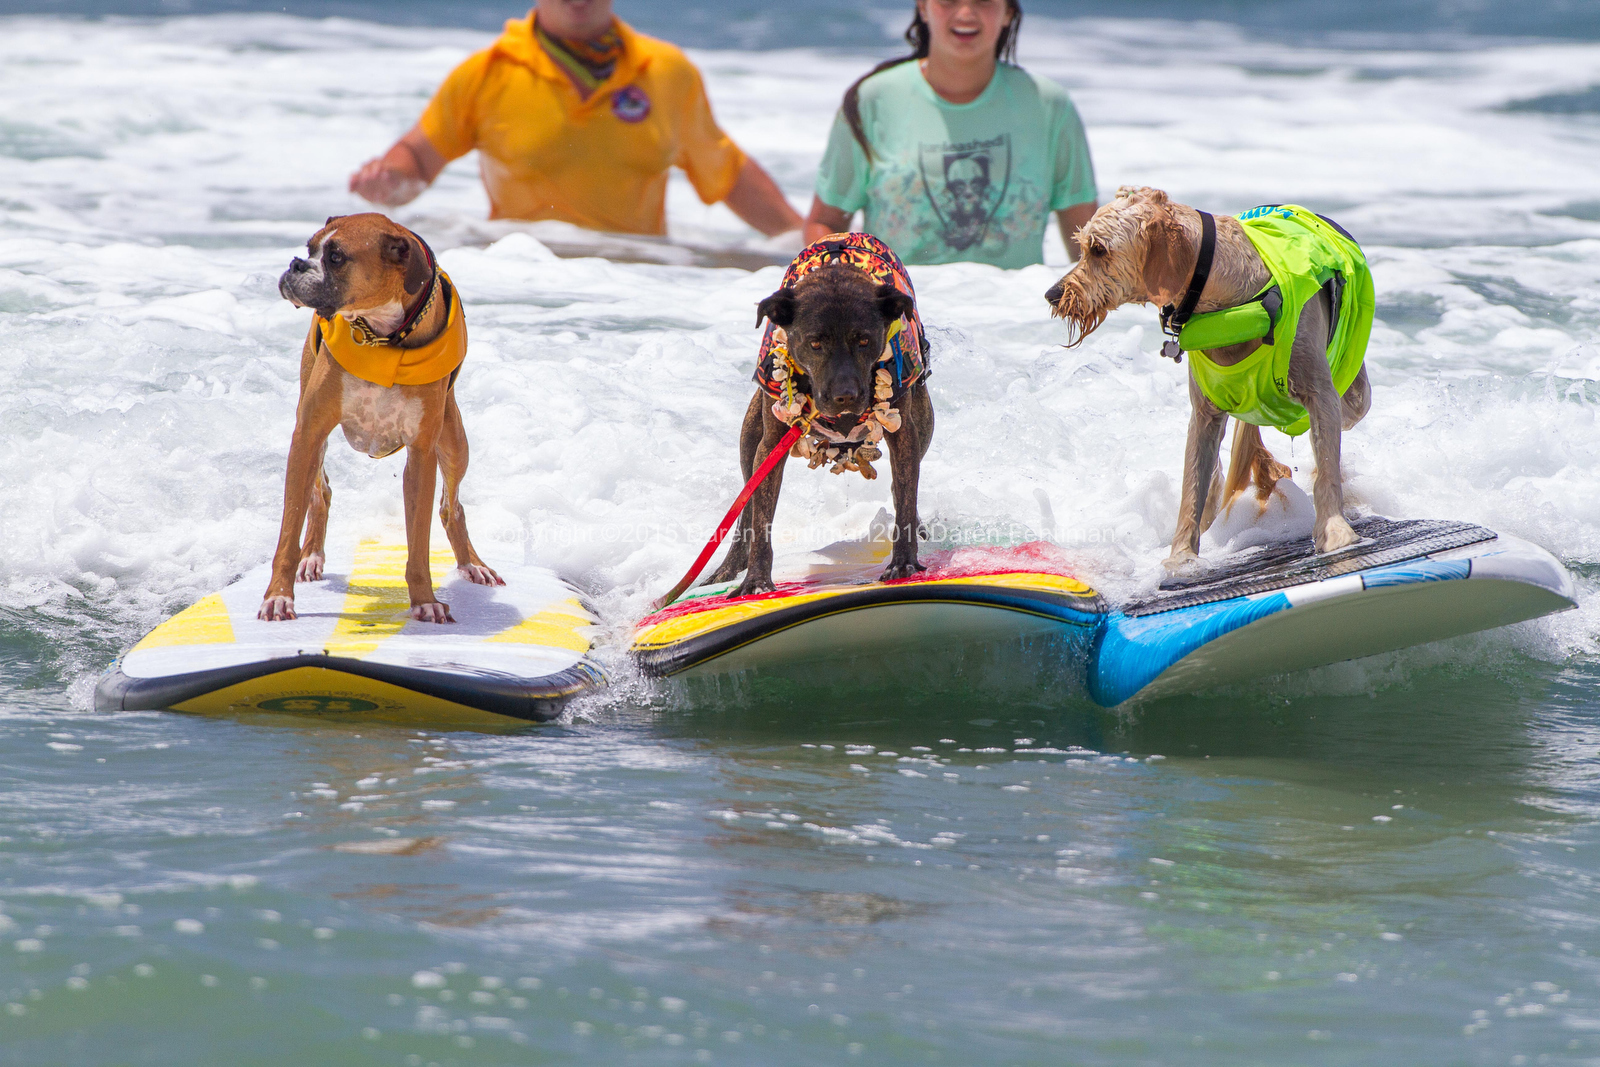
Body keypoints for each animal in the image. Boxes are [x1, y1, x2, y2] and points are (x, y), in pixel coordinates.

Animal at [262, 211, 502, 627]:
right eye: (310, 248)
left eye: (336, 257)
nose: (295, 264)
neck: (381, 336)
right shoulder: (308, 434)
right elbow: (288, 531)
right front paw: (278, 596)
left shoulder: (421, 456)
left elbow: (419, 540)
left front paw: (425, 600)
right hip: (312, 441)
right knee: (319, 493)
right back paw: (311, 555)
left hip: (454, 443)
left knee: (451, 507)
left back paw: (472, 563)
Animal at [707, 265, 934, 601]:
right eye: (815, 343)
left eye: (864, 340)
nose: (845, 396)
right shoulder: (770, 446)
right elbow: (760, 520)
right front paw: (757, 581)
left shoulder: (904, 434)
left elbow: (906, 501)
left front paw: (903, 563)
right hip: (749, 438)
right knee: (746, 507)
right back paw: (728, 567)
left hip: (924, 423)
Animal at [1036, 187, 1376, 572]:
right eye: (1082, 247)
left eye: (1098, 249)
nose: (1052, 294)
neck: (1229, 302)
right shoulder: (1204, 414)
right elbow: (1193, 487)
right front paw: (1181, 555)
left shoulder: (1322, 396)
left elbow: (1327, 467)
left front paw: (1334, 529)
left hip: (1353, 396)